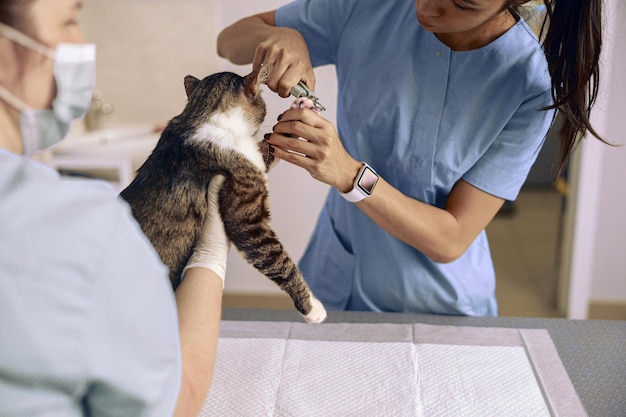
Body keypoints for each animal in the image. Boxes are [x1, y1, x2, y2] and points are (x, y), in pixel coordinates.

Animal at [119, 68, 330, 324]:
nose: (305, 100)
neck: (204, 116)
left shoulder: (255, 157)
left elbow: (273, 141)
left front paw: (301, 105)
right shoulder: (247, 220)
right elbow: (279, 260)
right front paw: (311, 307)